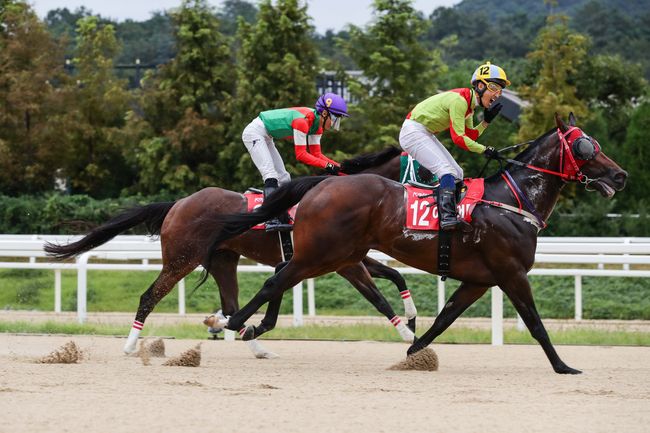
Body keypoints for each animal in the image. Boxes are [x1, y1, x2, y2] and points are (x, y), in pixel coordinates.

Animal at [44, 147, 416, 356]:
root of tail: (178, 203)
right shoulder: (341, 262)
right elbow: (376, 297)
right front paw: (407, 332)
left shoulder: (348, 256)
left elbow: (394, 275)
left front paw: (411, 315)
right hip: (181, 258)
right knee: (149, 296)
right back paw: (131, 344)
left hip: (224, 260)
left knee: (231, 305)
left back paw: (255, 346)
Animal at [205, 113, 624, 372]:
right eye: (586, 146)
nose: (620, 176)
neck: (512, 200)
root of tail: (322, 184)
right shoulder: (512, 273)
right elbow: (536, 324)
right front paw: (564, 366)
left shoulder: (479, 280)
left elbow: (444, 318)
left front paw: (412, 351)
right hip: (324, 254)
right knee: (274, 280)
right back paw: (234, 322)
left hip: (339, 255)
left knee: (280, 275)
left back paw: (246, 326)